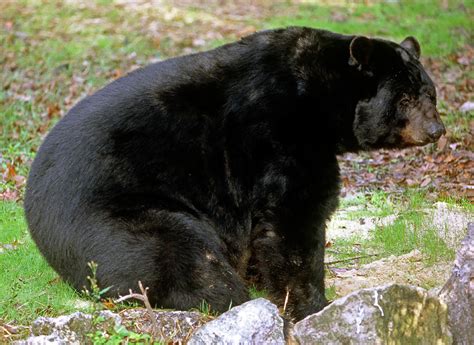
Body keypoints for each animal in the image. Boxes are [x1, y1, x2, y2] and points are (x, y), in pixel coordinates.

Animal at [24, 27, 444, 320]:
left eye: (430, 93)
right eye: (404, 98)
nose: (436, 129)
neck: (319, 96)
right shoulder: (280, 138)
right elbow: (294, 220)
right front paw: (313, 305)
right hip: (117, 222)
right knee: (187, 255)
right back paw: (234, 297)